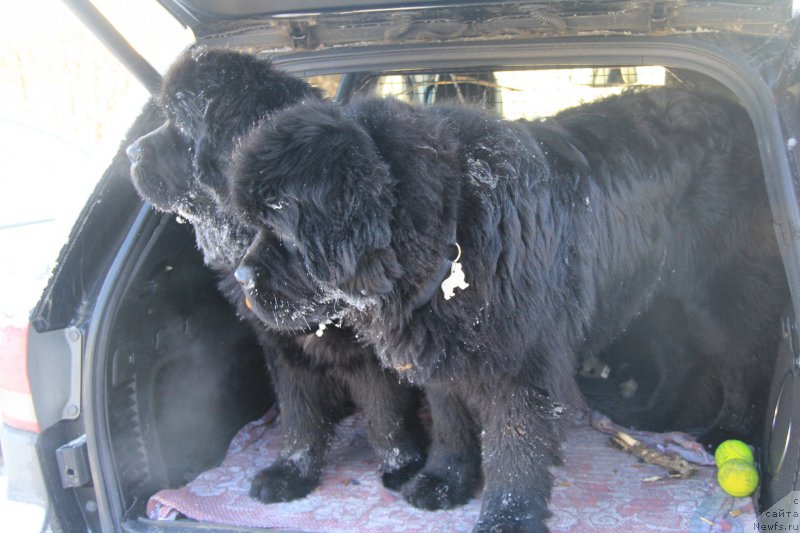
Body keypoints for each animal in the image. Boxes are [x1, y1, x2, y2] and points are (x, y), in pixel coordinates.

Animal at [125, 50, 428, 502]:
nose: (130, 151)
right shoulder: (282, 348)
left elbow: (385, 412)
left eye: (179, 122)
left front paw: (403, 465)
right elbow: (297, 413)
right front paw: (292, 470)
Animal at [231, 90, 788, 528]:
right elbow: (451, 422)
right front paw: (445, 481)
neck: (453, 231)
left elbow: (514, 446)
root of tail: (729, 106)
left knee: (744, 359)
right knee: (680, 356)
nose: (240, 277)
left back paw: (727, 434)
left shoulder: (523, 363)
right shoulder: (444, 357)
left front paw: (508, 517)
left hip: (720, 289)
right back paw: (651, 414)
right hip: (659, 291)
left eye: (279, 223)